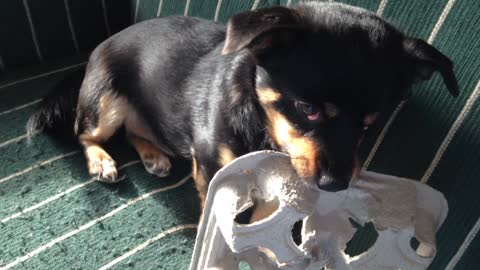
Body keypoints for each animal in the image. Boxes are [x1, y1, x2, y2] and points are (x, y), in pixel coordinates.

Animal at [27, 1, 458, 207]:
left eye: (370, 124)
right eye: (308, 108)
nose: (335, 185)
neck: (264, 128)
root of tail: (96, 51)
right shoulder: (212, 168)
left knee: (137, 130)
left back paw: (153, 155)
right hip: (105, 101)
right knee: (84, 132)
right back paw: (101, 159)